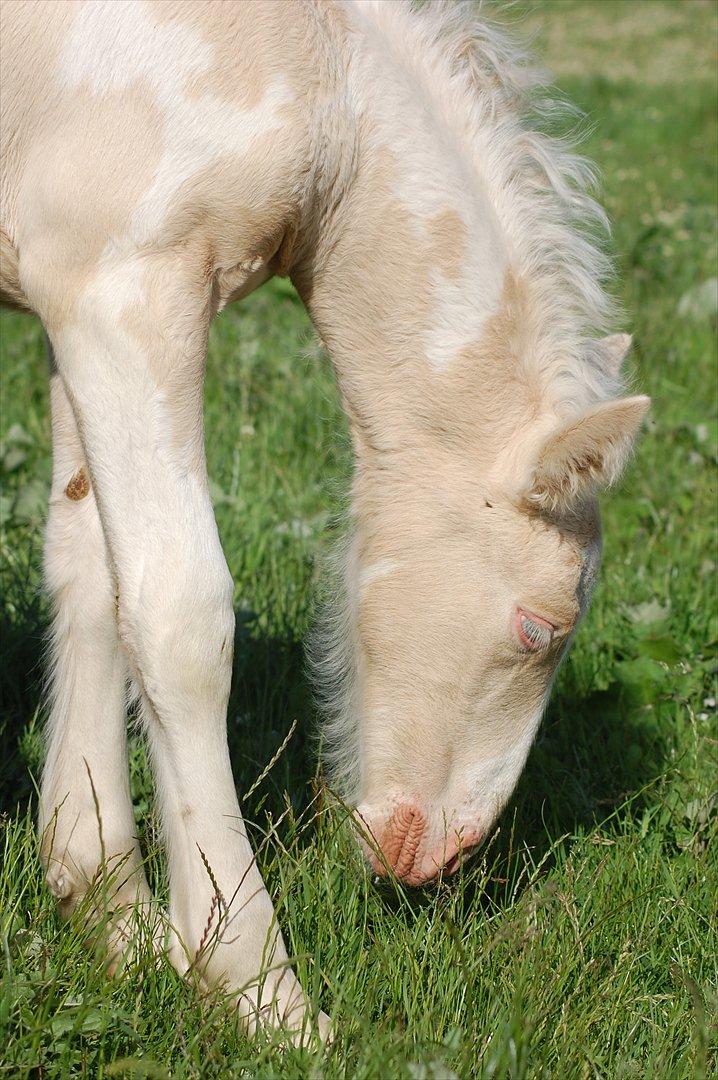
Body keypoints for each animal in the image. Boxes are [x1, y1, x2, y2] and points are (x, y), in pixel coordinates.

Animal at [0, 0, 649, 1040]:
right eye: (538, 628)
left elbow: (91, 576)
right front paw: (253, 982)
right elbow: (180, 620)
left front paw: (112, 915)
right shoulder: (124, 290)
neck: (318, 76)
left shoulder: (71, 301)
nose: (437, 859)